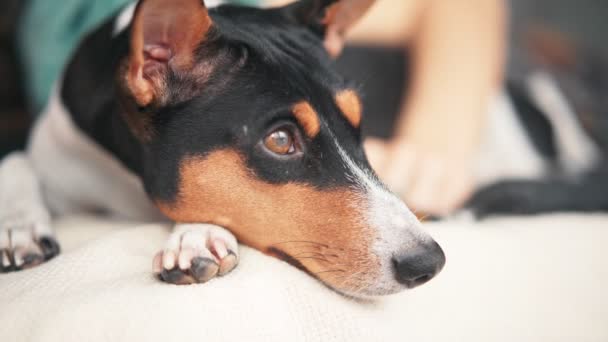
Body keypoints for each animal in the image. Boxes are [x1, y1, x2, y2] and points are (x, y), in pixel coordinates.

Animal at [0, 0, 444, 298]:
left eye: (358, 126)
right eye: (280, 141)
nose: (429, 263)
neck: (128, 190)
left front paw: (195, 236)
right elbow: (17, 161)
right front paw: (16, 226)